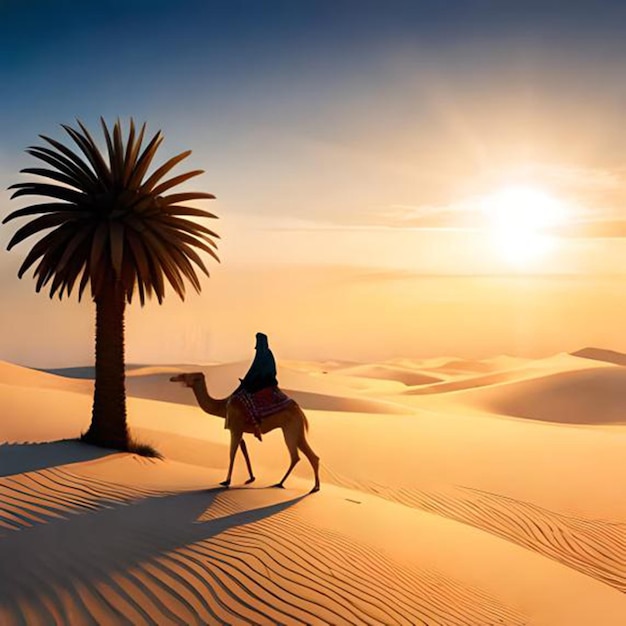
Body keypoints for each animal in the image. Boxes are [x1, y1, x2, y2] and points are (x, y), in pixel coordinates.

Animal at [168, 370, 320, 492]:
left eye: (184, 375)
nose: (172, 378)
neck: (223, 405)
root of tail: (300, 411)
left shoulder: (235, 428)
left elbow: (232, 453)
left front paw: (226, 481)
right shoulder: (239, 429)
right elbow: (244, 449)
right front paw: (251, 478)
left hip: (290, 428)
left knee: (295, 456)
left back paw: (280, 483)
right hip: (296, 430)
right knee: (310, 455)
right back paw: (314, 487)